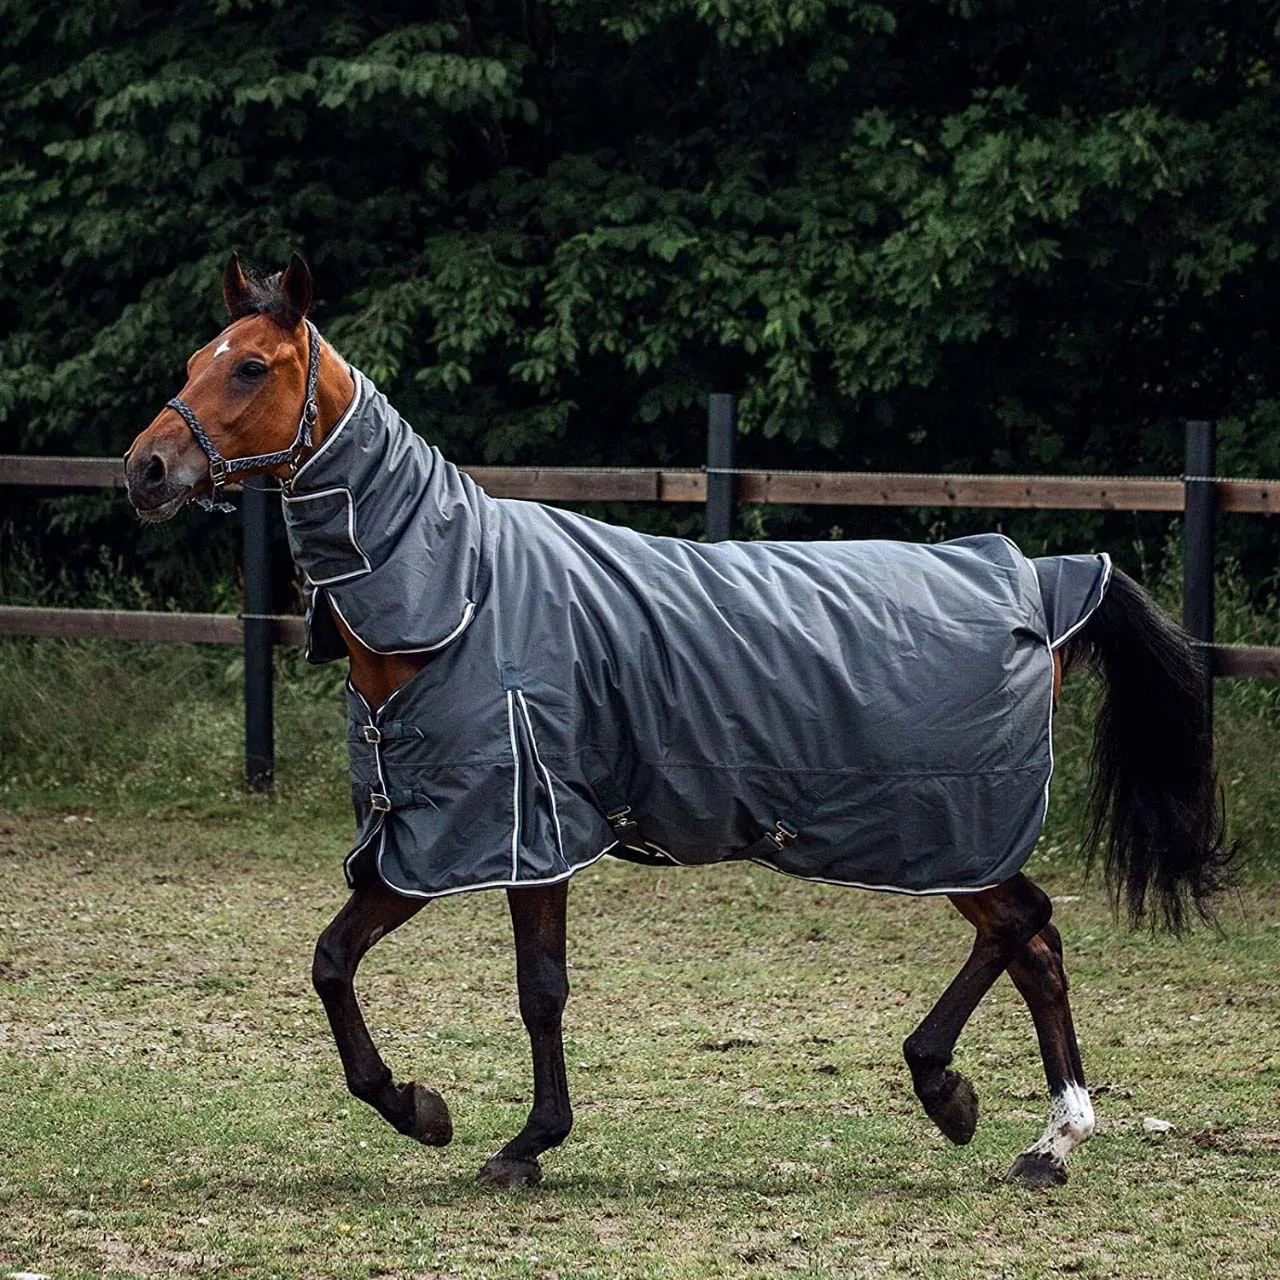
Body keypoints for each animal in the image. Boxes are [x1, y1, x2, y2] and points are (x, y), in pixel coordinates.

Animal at [124, 253, 1232, 1191]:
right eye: (193, 362)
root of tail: (1039, 578)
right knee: (1034, 944)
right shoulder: (451, 836)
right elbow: (363, 963)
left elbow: (519, 987)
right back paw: (1045, 1142)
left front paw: (491, 1133)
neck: (462, 593)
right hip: (951, 835)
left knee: (1021, 924)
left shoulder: (503, 828)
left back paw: (951, 1092)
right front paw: (444, 1116)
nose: (143, 470)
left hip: (949, 827)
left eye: (250, 366)